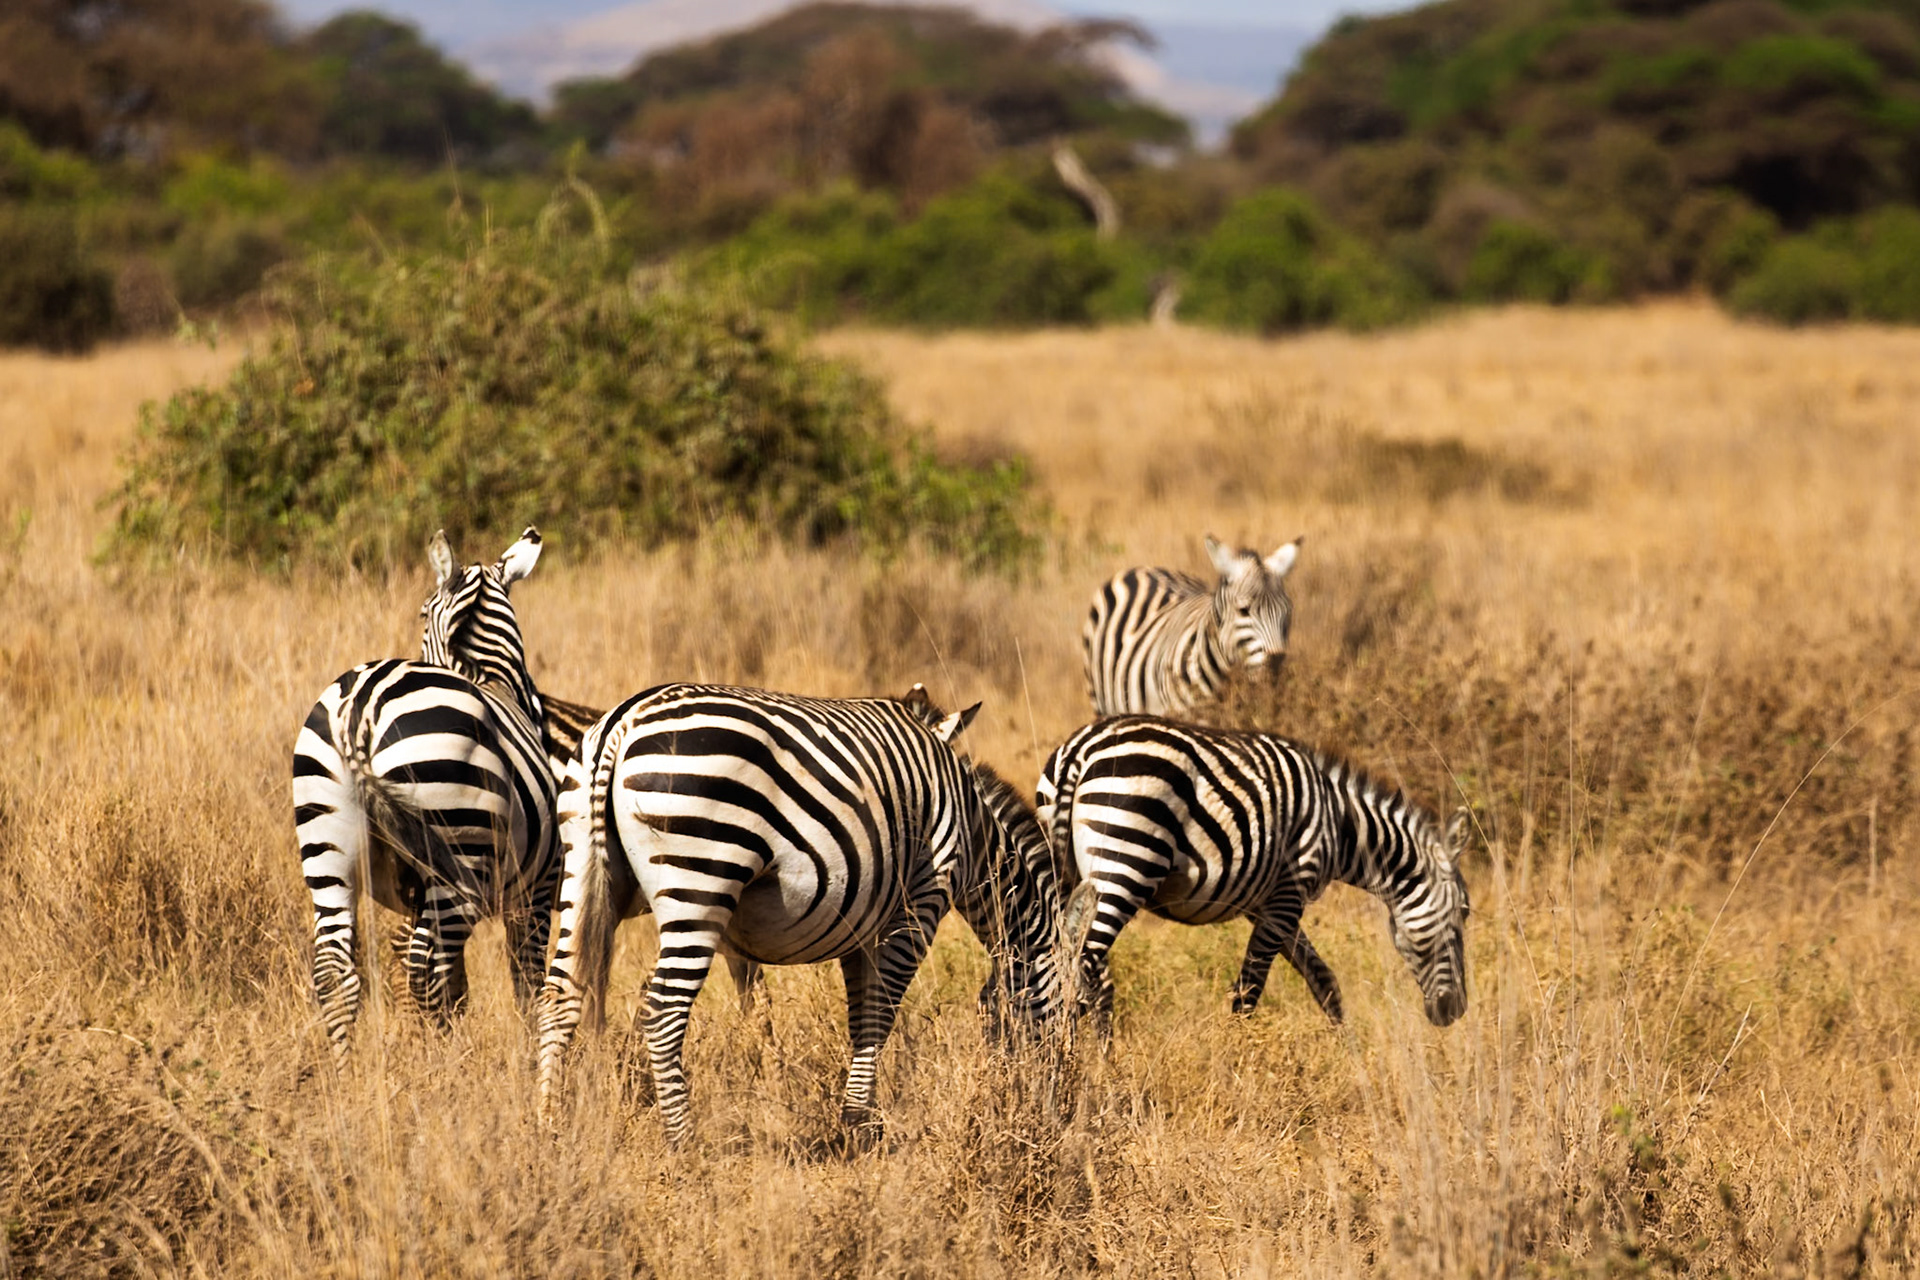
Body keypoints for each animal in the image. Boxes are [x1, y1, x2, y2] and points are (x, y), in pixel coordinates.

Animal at [292, 527, 561, 1055]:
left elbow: (464, 986)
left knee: (336, 972)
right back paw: (441, 1060)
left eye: (419, 614)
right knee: (425, 971)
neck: (497, 682)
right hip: (459, 851)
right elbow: (526, 981)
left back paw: (346, 1069)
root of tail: (360, 708)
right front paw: (528, 1052)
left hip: (326, 842)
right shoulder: (537, 891)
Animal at [534, 683, 1064, 1143]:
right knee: (663, 1009)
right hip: (702, 875)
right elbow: (880, 1012)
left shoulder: (856, 925)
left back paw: (549, 1125)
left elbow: (841, 1015)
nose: (1055, 1101)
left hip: (582, 865)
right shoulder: (921, 901)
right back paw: (682, 1140)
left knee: (559, 996)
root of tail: (621, 723)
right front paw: (858, 1124)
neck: (972, 831)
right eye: (1068, 1006)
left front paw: (846, 1113)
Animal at [1037, 715, 1469, 1033]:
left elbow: (1323, 979)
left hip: (1070, 867)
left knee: (1070, 960)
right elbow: (1249, 988)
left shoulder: (1267, 902)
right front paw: (1239, 1057)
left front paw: (1349, 1054)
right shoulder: (1290, 892)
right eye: (1465, 913)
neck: (1341, 824)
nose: (1457, 1011)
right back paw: (1083, 1059)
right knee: (1085, 964)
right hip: (1126, 863)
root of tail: (1080, 750)